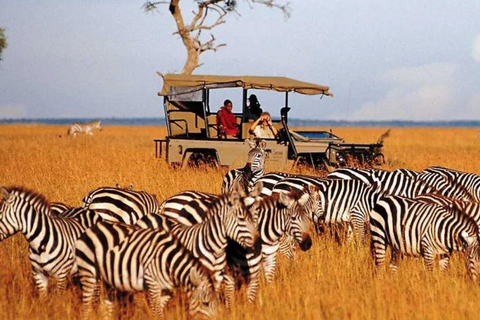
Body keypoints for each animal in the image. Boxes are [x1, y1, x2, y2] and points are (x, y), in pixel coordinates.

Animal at [75, 221, 218, 318]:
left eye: (216, 304)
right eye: (205, 303)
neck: (169, 263)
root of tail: (91, 228)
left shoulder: (166, 290)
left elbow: (159, 311)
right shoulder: (152, 284)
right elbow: (157, 313)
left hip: (107, 278)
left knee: (105, 306)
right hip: (88, 271)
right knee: (86, 307)